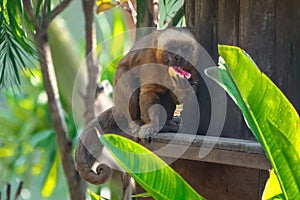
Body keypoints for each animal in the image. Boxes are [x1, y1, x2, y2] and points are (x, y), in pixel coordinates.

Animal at [76, 27, 200, 185]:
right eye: (173, 49)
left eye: (185, 49)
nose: (179, 57)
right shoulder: (150, 57)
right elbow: (148, 91)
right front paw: (151, 126)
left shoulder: (193, 66)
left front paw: (183, 89)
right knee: (128, 79)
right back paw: (137, 123)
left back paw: (168, 124)